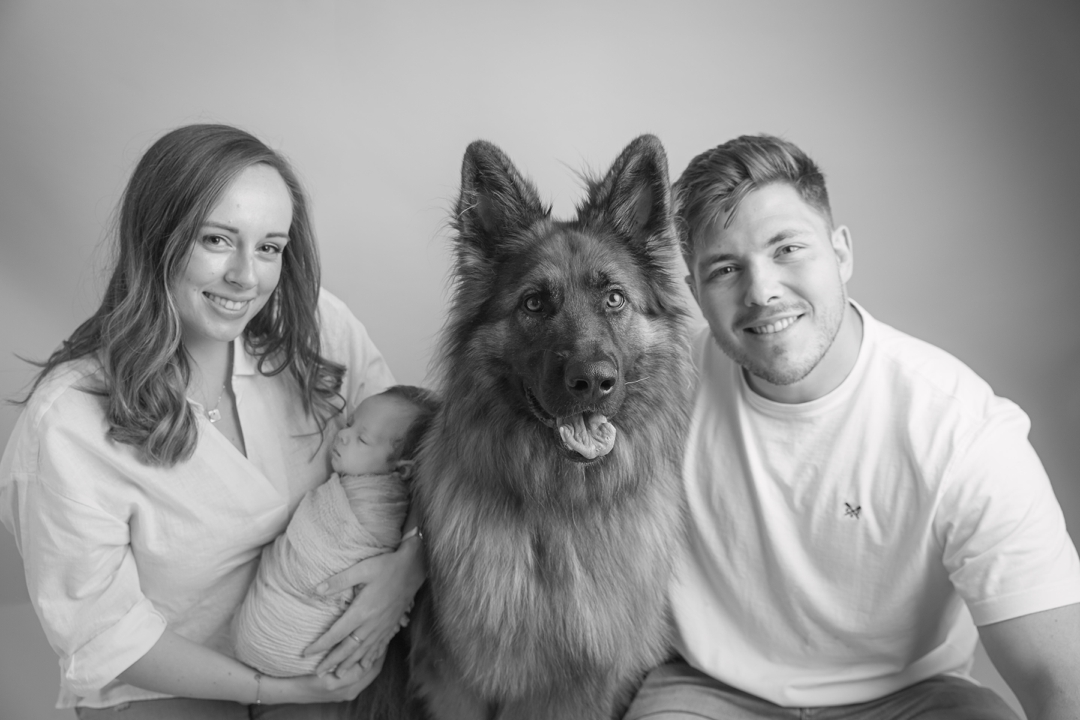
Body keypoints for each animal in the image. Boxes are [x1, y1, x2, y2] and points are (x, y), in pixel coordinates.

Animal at [397, 136, 691, 720]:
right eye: (534, 303)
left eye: (614, 298)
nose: (593, 381)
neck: (562, 508)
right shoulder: (457, 681)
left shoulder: (587, 686)